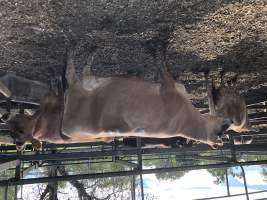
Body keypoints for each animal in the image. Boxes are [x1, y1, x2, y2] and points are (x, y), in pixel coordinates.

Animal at [3, 51, 232, 150]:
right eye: (222, 130)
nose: (229, 121)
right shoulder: (171, 86)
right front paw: (209, 78)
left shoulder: (168, 87)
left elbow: (163, 65)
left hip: (82, 91)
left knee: (74, 74)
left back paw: (75, 59)